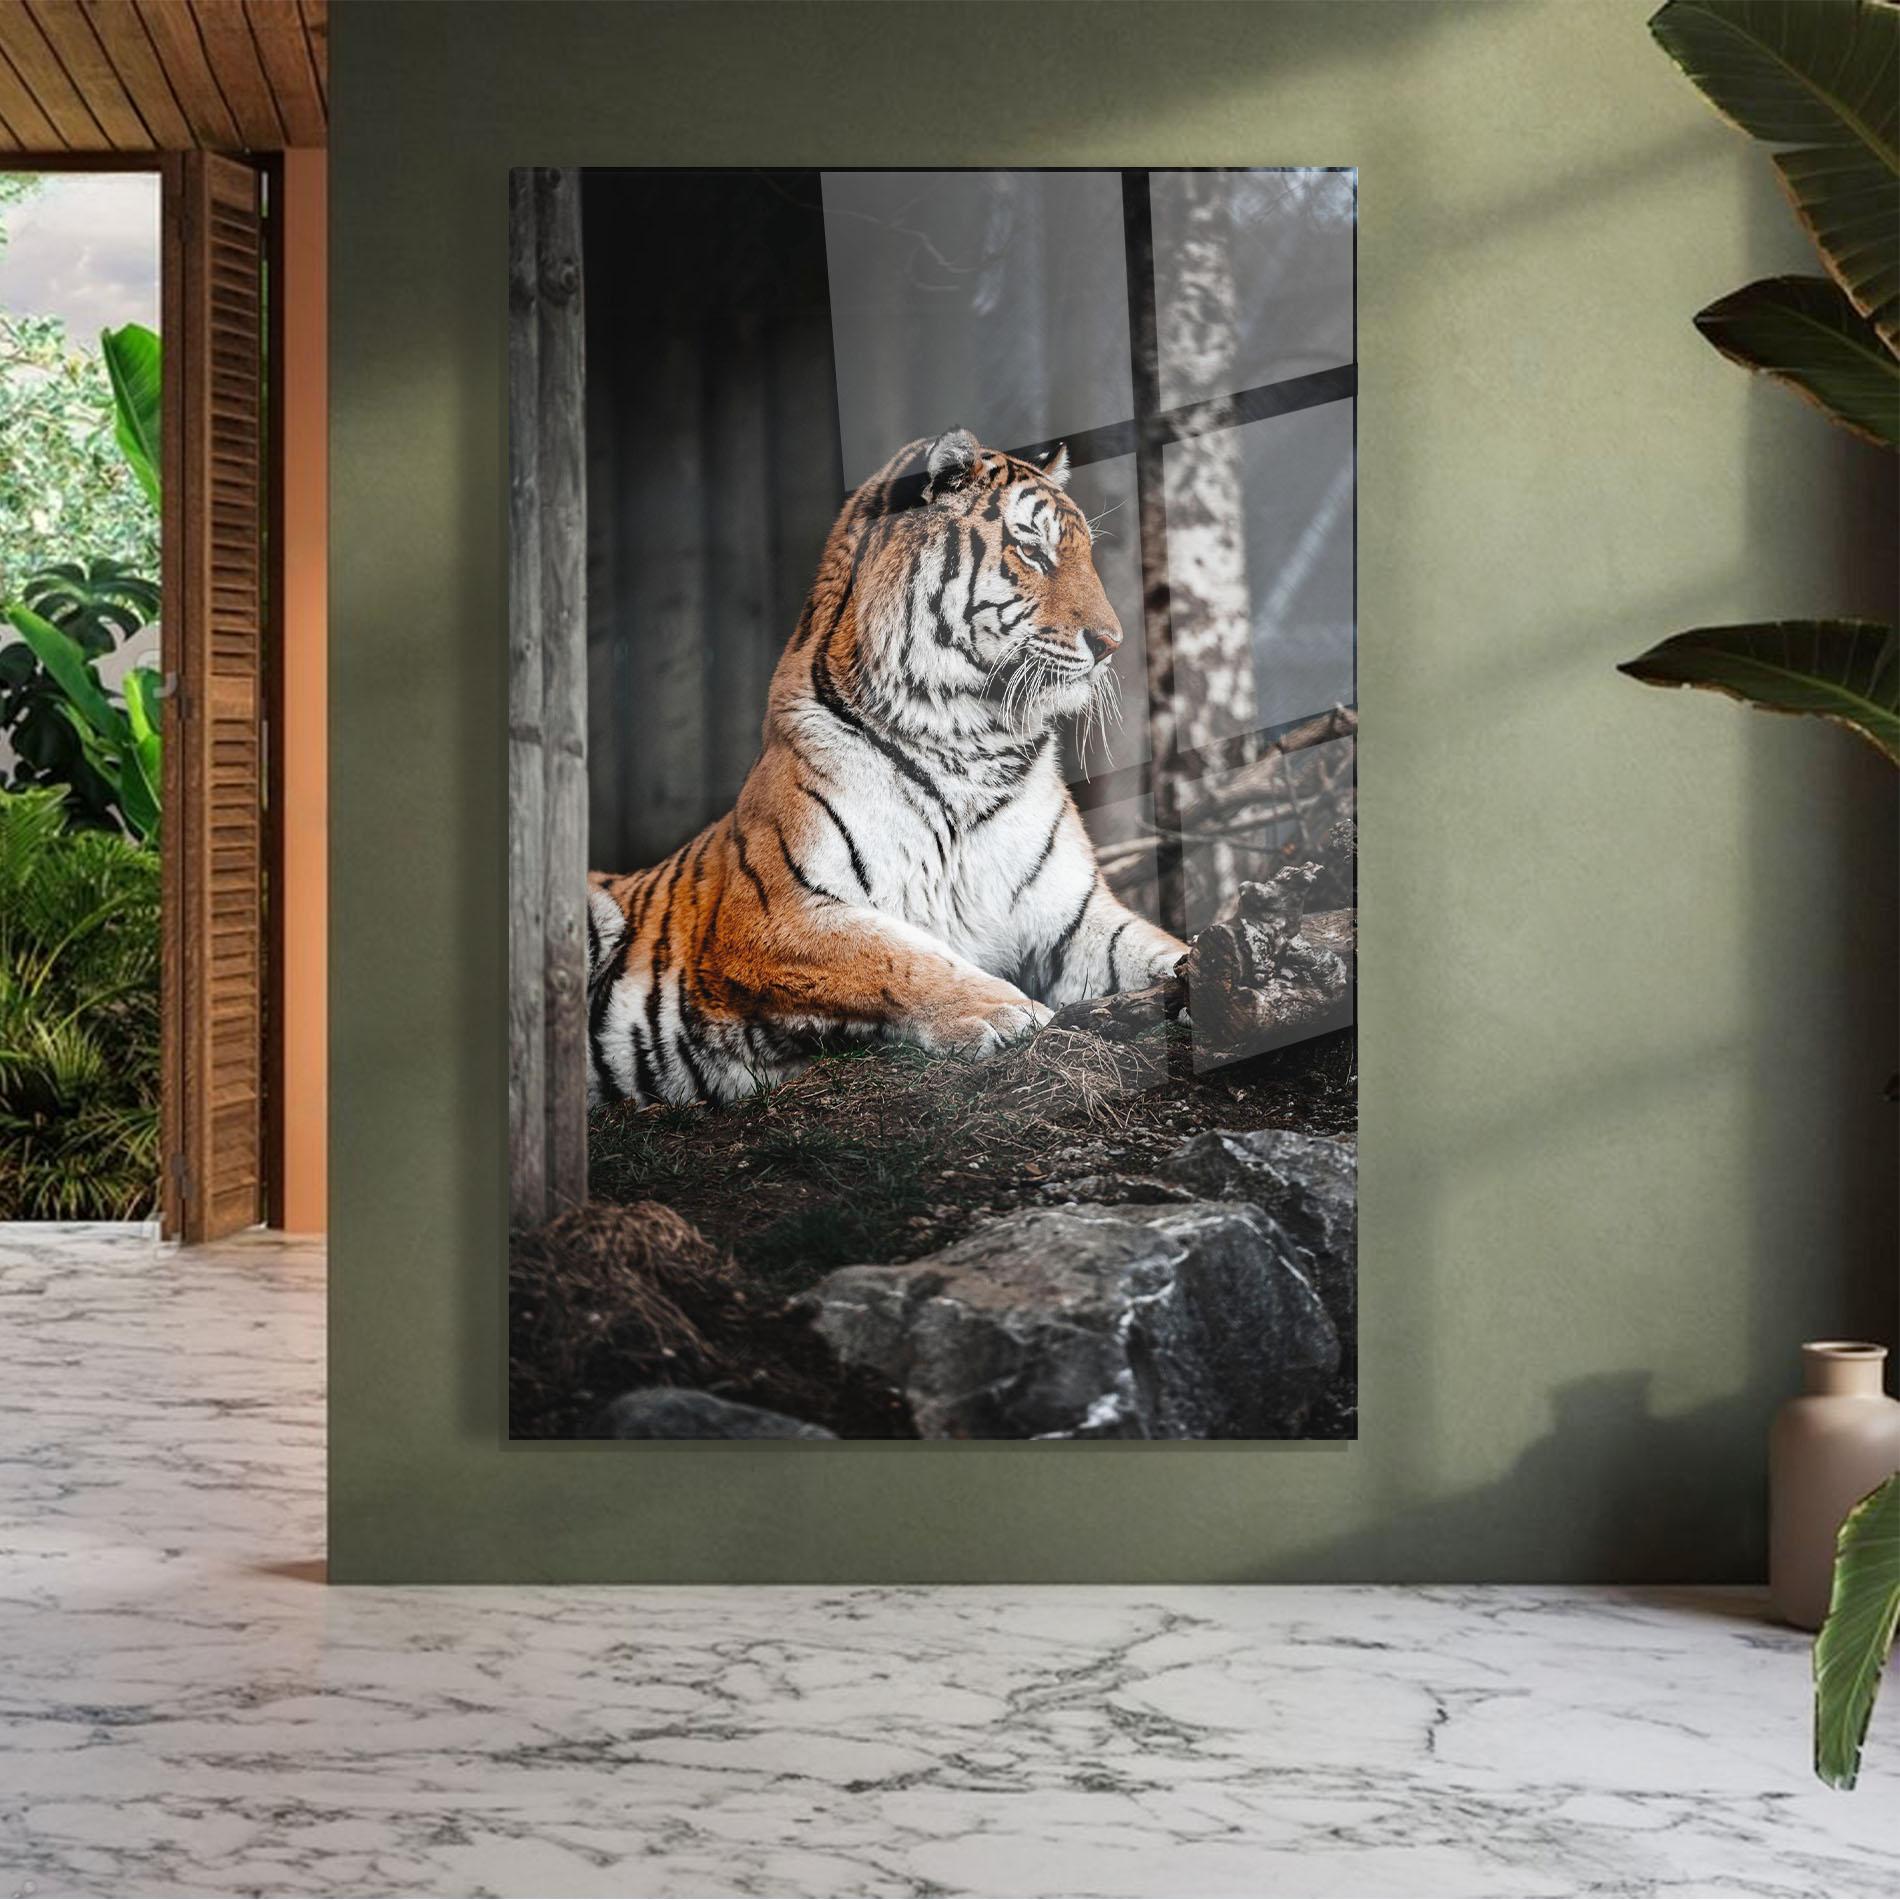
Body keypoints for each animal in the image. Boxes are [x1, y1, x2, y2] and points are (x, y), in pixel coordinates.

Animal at [585, 427, 1188, 1107]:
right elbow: (898, 955)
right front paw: (1003, 1012)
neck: (971, 739)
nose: (1112, 644)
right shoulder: (770, 914)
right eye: (1031, 550)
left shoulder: (1073, 919)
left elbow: (1153, 945)